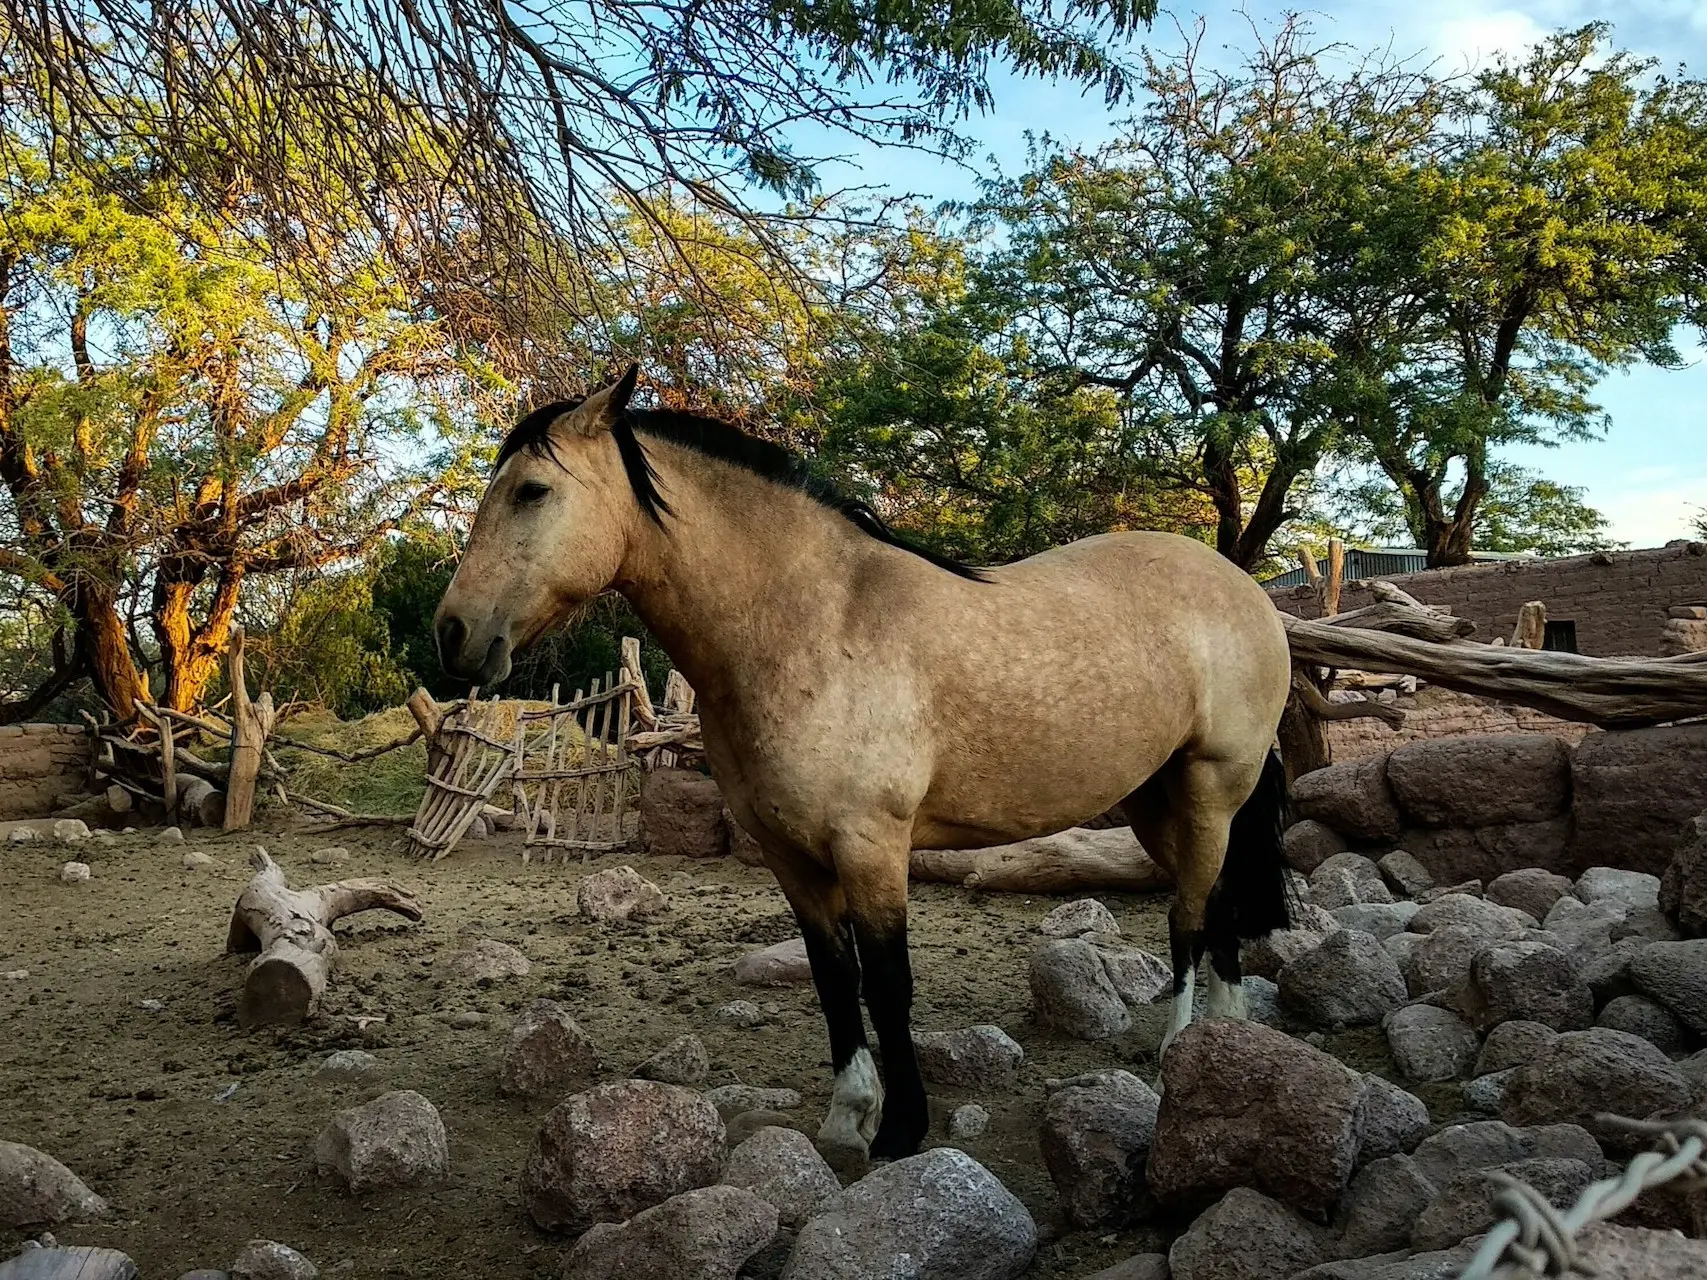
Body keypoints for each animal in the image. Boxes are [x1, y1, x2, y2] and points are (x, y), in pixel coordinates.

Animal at [433, 368, 1283, 1160]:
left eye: (532, 491)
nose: (453, 634)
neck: (811, 625)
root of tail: (1244, 588)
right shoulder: (791, 856)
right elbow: (833, 978)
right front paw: (848, 1115)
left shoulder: (870, 844)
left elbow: (887, 982)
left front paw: (902, 1129)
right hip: (1153, 801)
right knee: (1217, 907)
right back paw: (1224, 1040)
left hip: (1210, 790)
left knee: (1189, 915)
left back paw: (1179, 1050)